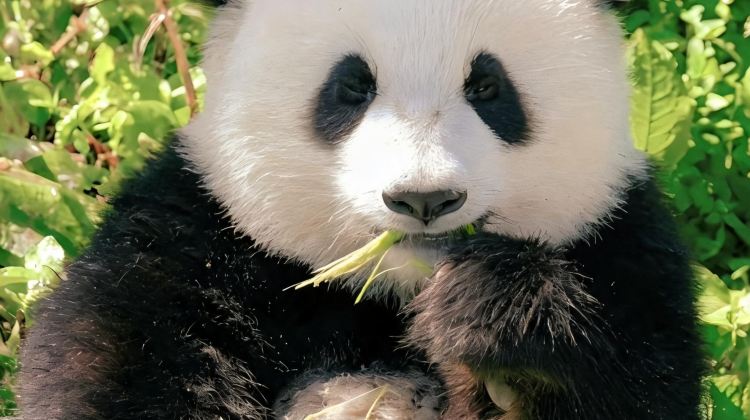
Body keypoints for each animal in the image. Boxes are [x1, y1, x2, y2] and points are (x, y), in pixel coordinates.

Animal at [17, 0, 704, 419]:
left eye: (487, 86)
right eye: (352, 85)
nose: (424, 198)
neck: (388, 296)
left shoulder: (624, 246)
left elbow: (646, 382)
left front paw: (495, 320)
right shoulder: (188, 238)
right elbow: (110, 369)